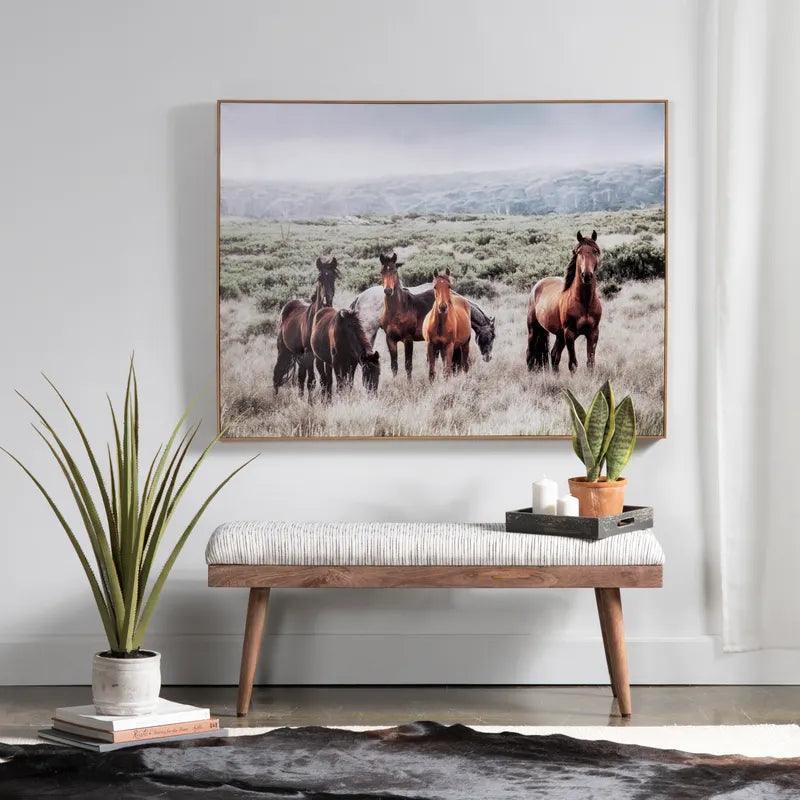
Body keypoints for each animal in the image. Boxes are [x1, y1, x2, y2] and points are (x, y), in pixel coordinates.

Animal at [273, 256, 339, 397]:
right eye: (319, 278)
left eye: (334, 277)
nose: (327, 300)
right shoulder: (310, 355)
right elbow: (313, 381)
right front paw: (312, 401)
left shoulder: (324, 356)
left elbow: (327, 380)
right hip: (283, 350)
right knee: (278, 373)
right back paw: (275, 398)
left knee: (300, 378)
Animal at [526, 231, 602, 372]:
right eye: (578, 252)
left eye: (595, 251)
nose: (586, 275)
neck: (584, 301)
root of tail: (537, 285)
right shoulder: (569, 334)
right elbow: (573, 364)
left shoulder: (593, 333)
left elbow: (590, 363)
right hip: (534, 330)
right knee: (529, 354)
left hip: (559, 335)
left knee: (554, 355)